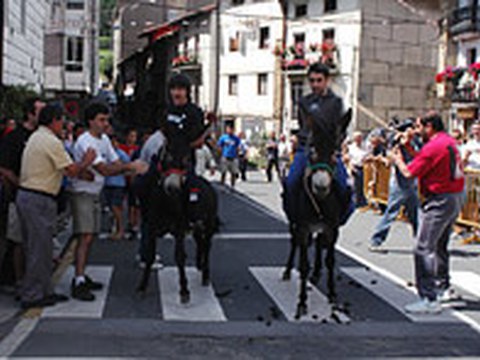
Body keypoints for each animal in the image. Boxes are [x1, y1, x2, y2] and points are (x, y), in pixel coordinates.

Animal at [135, 149, 218, 304]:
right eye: (164, 159)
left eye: (185, 161)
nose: (172, 187)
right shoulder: (151, 228)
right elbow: (149, 255)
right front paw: (142, 286)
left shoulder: (179, 229)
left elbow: (180, 256)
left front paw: (184, 290)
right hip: (197, 227)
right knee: (201, 242)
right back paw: (199, 264)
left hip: (209, 224)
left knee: (207, 246)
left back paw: (205, 274)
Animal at [284, 109, 350, 318]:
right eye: (311, 151)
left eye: (336, 154)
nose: (320, 187)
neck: (320, 203)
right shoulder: (303, 228)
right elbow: (304, 265)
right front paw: (302, 302)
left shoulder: (332, 229)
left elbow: (330, 260)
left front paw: (332, 294)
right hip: (294, 223)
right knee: (294, 243)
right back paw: (287, 271)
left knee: (320, 245)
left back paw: (316, 273)